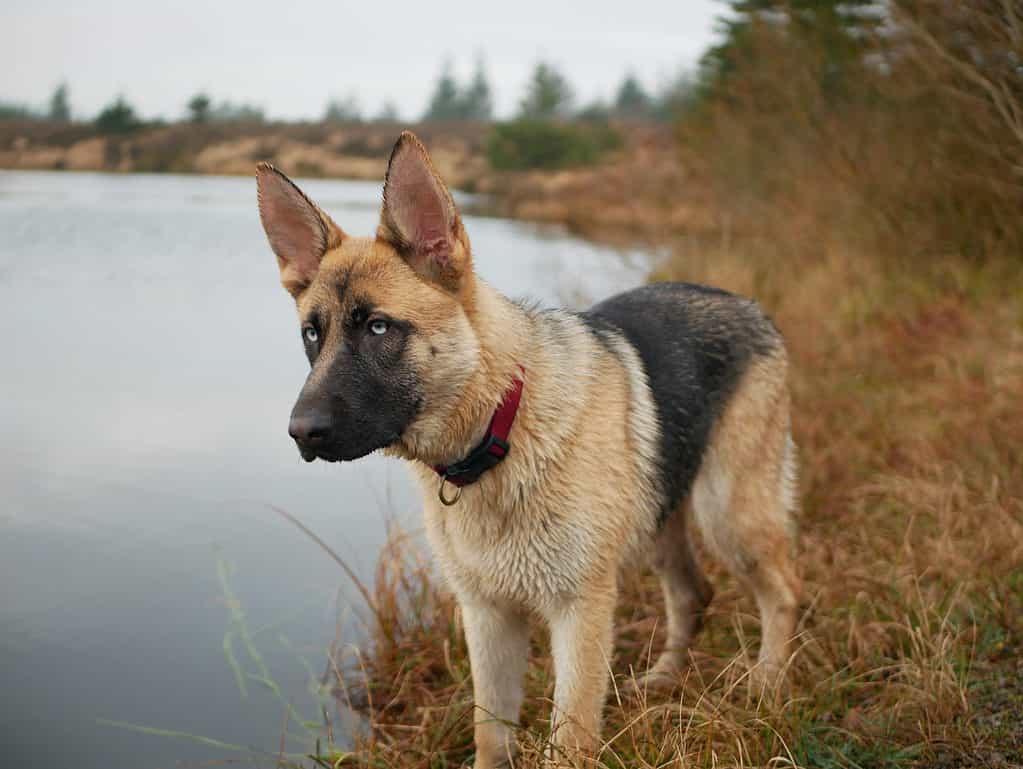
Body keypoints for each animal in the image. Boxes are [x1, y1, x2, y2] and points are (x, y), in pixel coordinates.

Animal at [255, 129, 797, 764]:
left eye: (379, 328)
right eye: (312, 334)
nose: (300, 432)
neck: (500, 428)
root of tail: (748, 304)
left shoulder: (580, 613)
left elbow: (570, 739)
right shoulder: (488, 618)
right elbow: (490, 734)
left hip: (729, 517)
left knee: (783, 592)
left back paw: (768, 688)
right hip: (659, 525)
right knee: (694, 592)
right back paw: (664, 679)